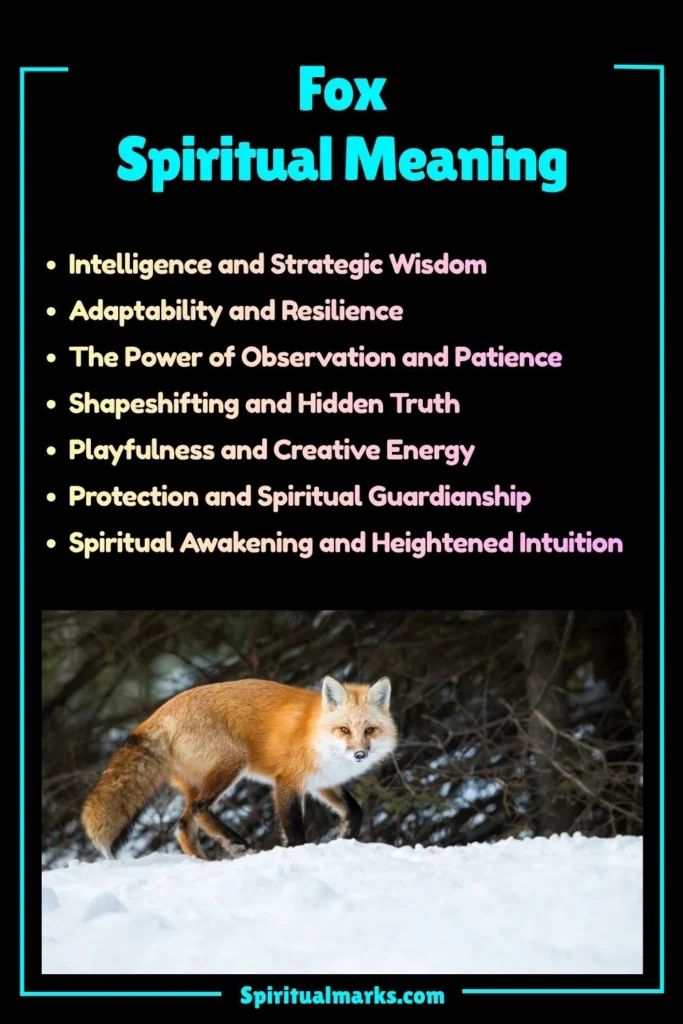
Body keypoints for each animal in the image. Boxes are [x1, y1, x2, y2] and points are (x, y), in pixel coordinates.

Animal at [81, 675, 397, 860]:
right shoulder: (287, 782)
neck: (315, 732)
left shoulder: (321, 783)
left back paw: (202, 861)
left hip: (199, 782)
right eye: (344, 730)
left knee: (183, 826)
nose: (360, 754)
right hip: (232, 764)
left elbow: (355, 811)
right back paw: (235, 843)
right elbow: (294, 830)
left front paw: (345, 838)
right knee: (200, 809)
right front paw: (297, 852)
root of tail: (160, 713)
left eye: (369, 730)